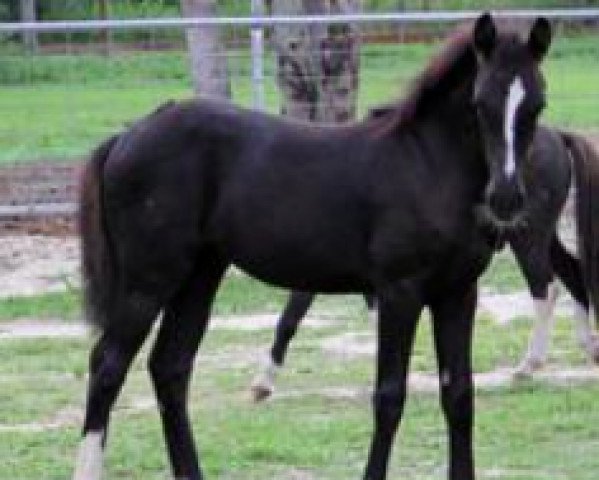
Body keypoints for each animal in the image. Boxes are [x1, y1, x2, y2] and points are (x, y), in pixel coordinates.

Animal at [76, 12, 564, 480]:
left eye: (538, 104)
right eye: (480, 103)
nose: (506, 198)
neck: (428, 166)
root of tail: (126, 136)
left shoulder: (458, 293)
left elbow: (460, 395)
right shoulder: (399, 292)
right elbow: (389, 397)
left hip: (200, 274)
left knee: (170, 368)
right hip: (149, 281)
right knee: (107, 365)